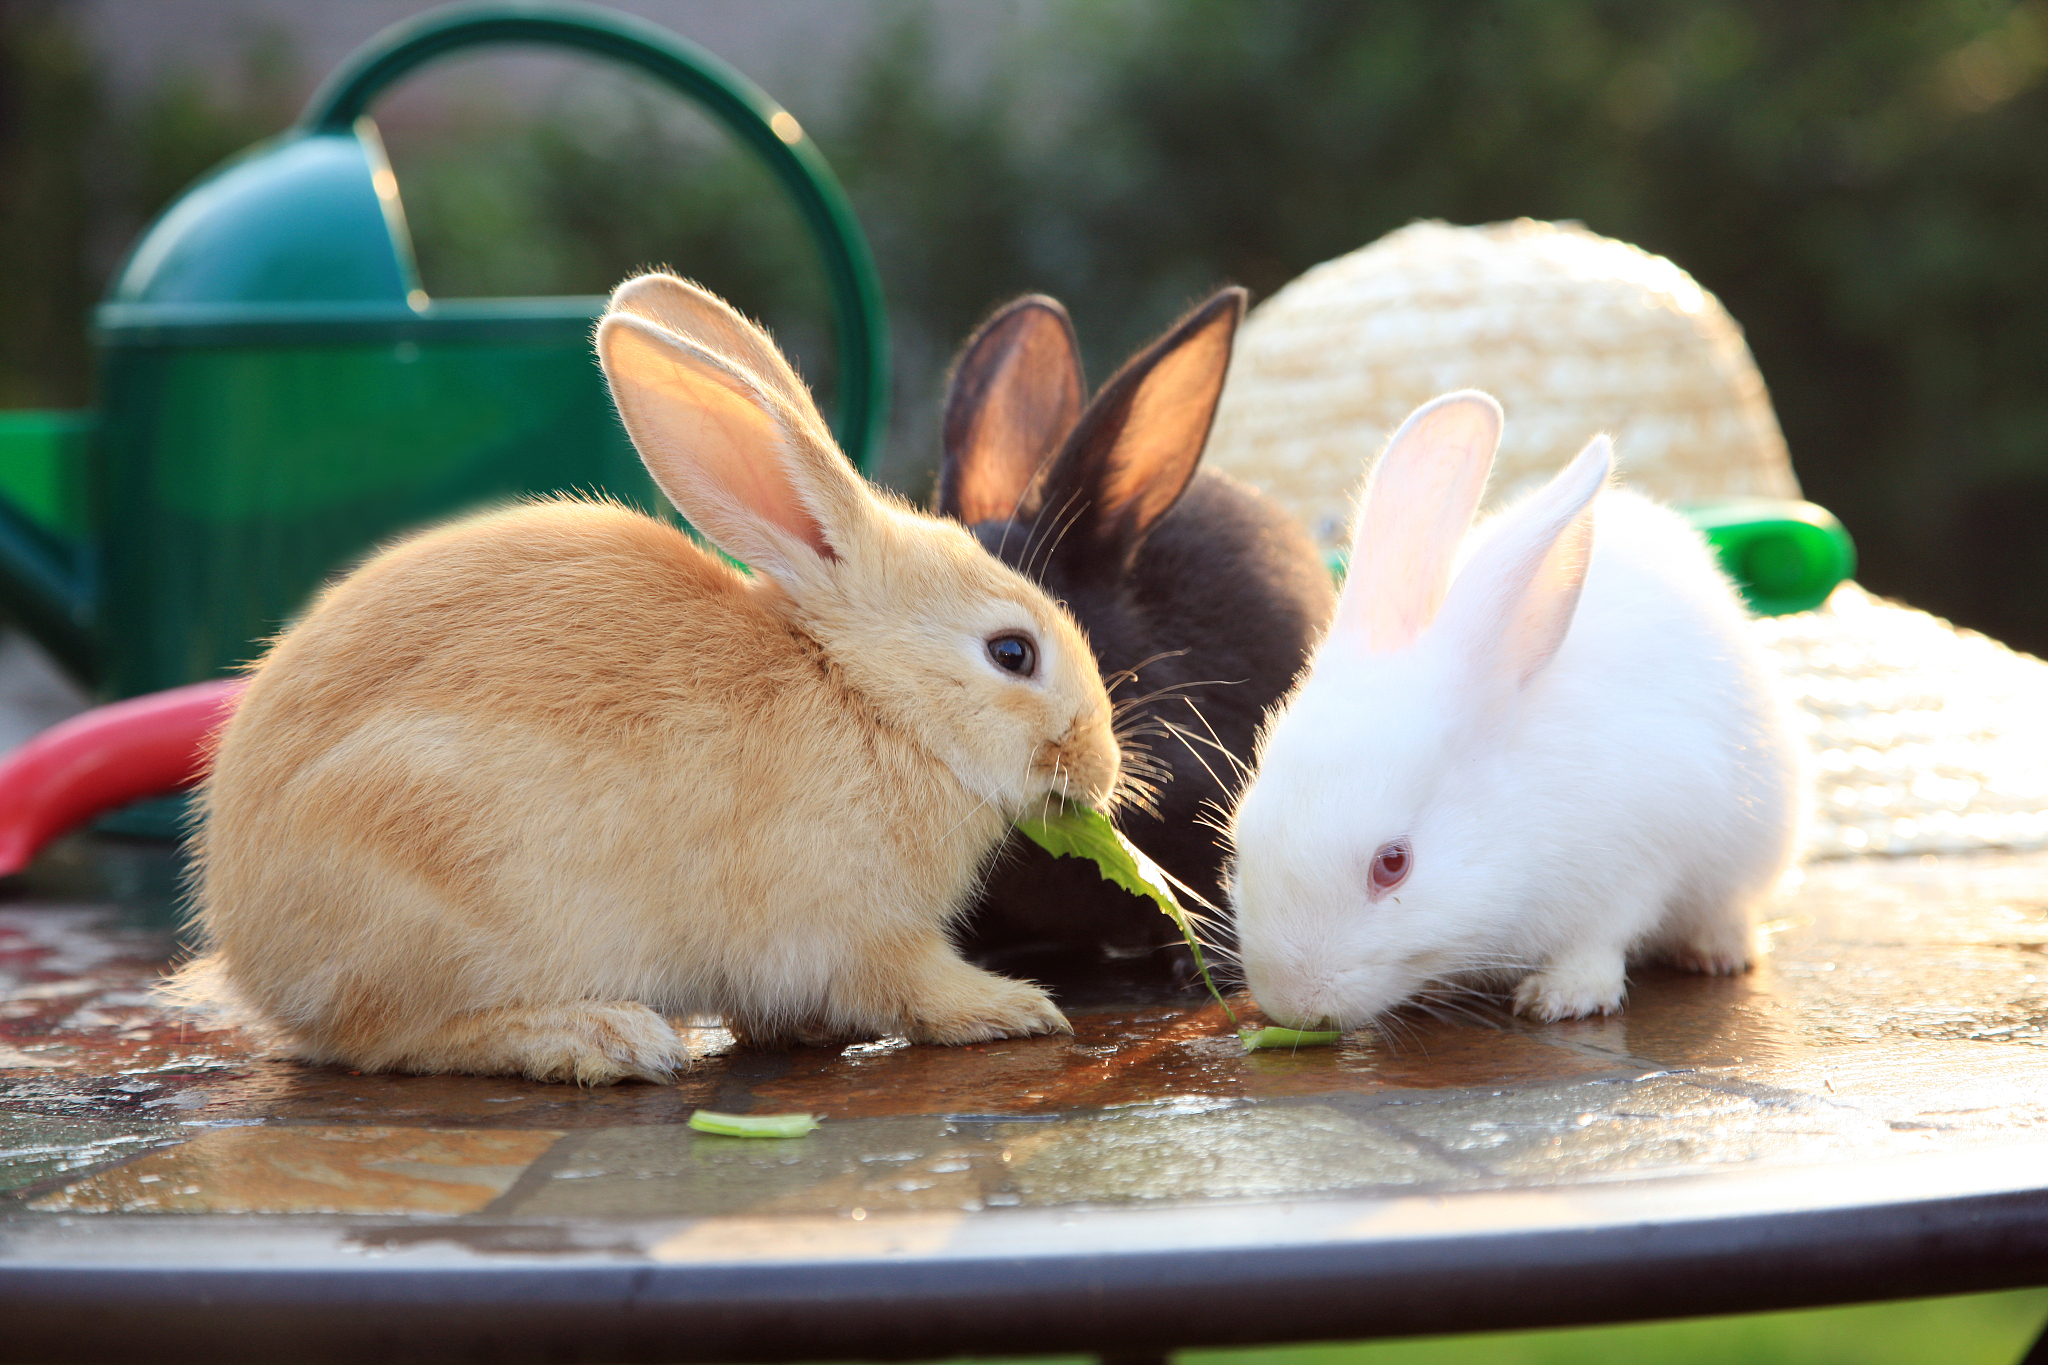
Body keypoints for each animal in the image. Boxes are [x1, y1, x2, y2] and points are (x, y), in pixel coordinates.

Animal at [174, 274, 1122, 1088]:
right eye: (1012, 653)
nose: (1105, 765)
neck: (865, 693)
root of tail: (246, 944)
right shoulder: (864, 932)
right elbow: (916, 985)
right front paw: (1016, 1007)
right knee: (390, 1038)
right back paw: (600, 1036)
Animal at [1220, 388, 1802, 1031]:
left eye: (1392, 864)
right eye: (1240, 838)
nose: (1292, 1001)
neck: (1518, 816)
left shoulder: (1635, 865)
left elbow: (1599, 943)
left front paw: (1562, 997)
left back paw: (1718, 953)